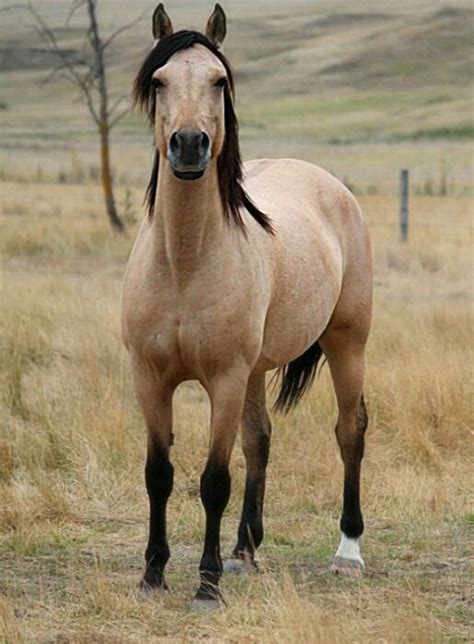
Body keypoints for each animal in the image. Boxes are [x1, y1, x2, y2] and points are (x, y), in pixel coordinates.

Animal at [122, 3, 374, 608]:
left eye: (219, 80)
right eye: (160, 81)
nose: (190, 145)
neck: (185, 262)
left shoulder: (225, 378)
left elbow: (214, 480)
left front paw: (206, 585)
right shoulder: (149, 378)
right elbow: (158, 474)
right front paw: (153, 575)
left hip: (347, 342)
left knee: (349, 431)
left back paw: (348, 553)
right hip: (260, 368)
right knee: (259, 439)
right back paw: (245, 549)